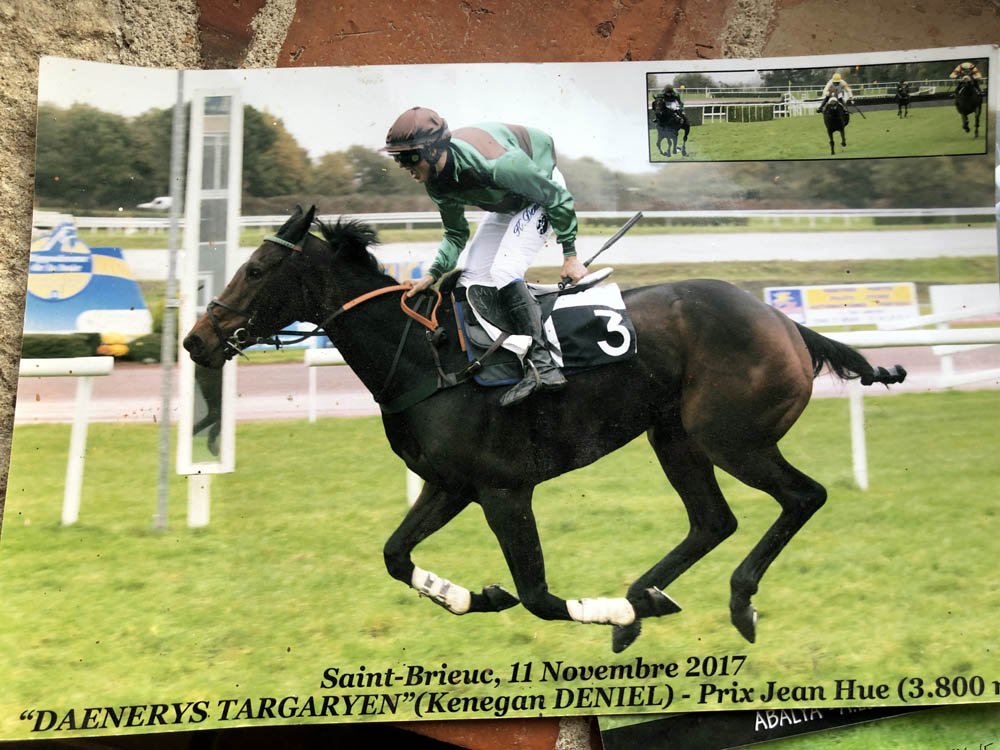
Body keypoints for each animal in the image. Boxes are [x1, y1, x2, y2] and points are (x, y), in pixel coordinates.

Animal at [182, 205, 907, 653]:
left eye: (255, 270)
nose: (195, 340)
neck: (429, 358)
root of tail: (785, 321)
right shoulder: (451, 485)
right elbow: (396, 556)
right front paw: (473, 594)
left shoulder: (504, 491)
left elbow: (537, 596)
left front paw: (597, 609)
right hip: (674, 436)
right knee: (712, 521)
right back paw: (646, 597)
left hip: (731, 436)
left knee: (802, 497)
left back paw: (729, 601)